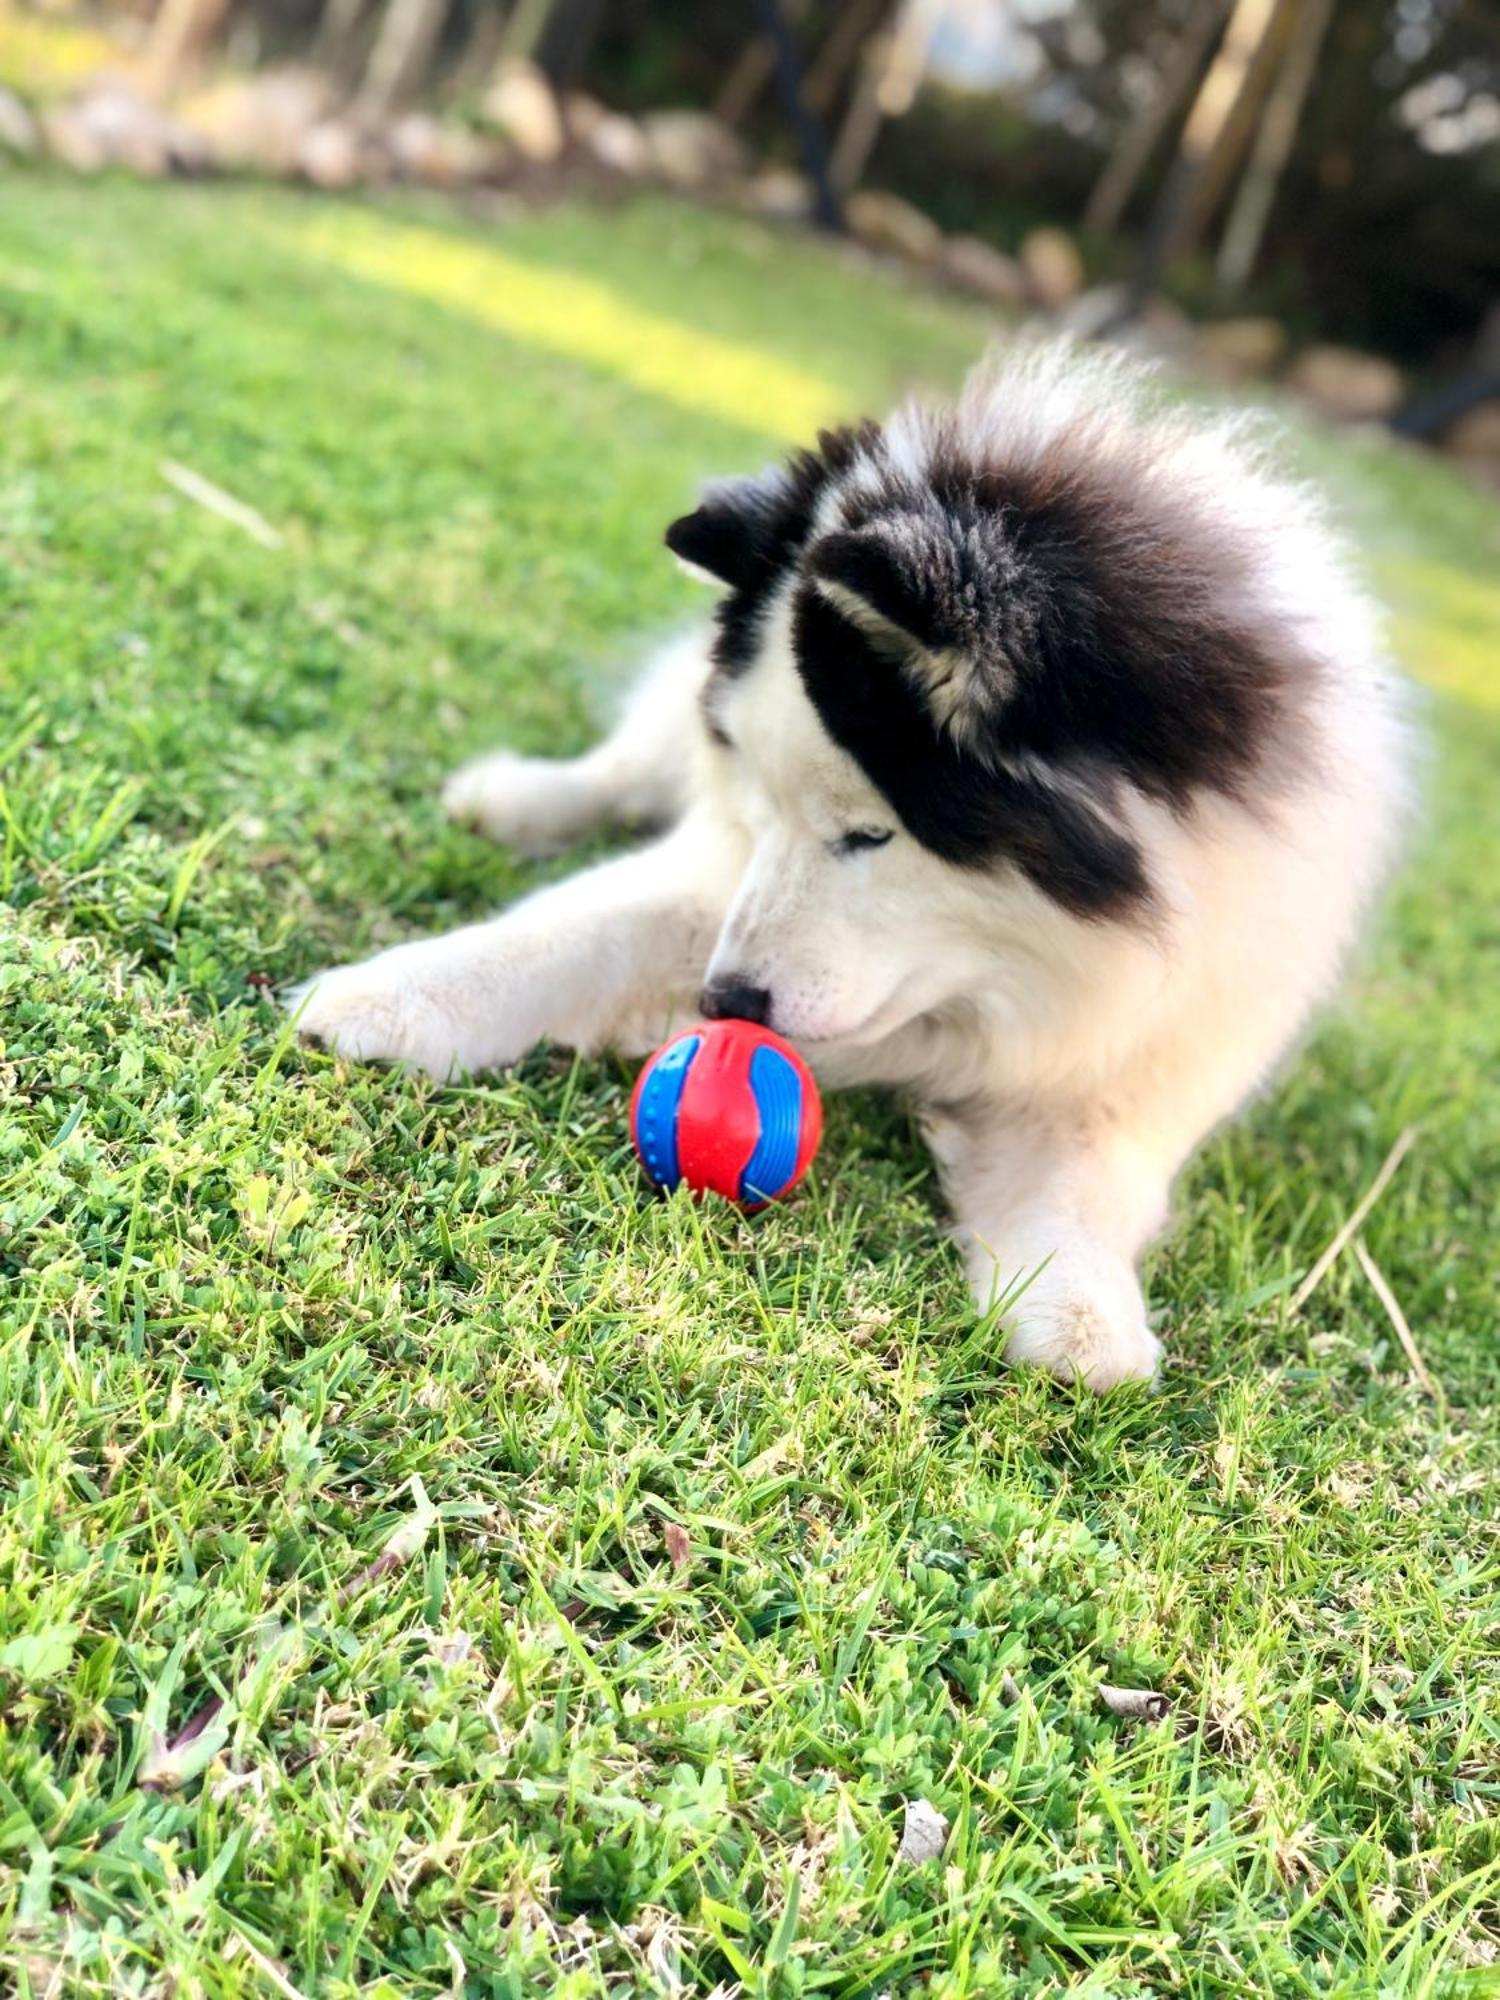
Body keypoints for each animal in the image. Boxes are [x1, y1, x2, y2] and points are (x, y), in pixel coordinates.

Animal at [290, 340, 1408, 1392]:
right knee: (626, 762)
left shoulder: (1157, 1034)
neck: (1017, 983)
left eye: (871, 835)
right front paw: (394, 995)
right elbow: (572, 926)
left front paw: (1080, 1314)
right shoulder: (719, 872)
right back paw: (516, 797)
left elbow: (1089, 1174)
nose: (726, 1001)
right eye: (768, 809)